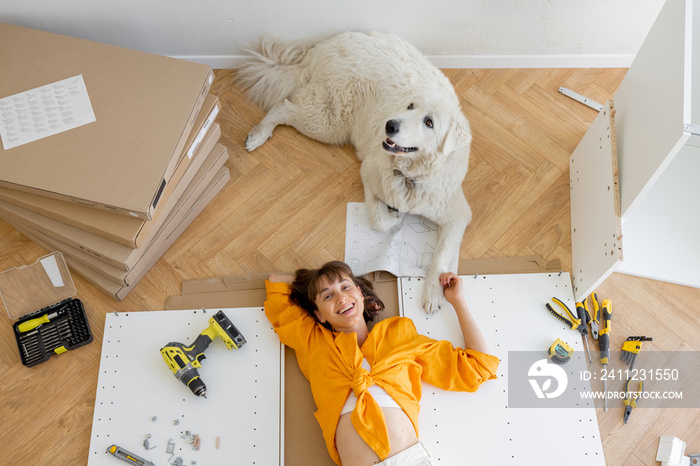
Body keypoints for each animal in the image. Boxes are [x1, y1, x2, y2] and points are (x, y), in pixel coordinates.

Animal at [238, 31, 474, 312]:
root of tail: (320, 47)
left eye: (429, 122)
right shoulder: (369, 172)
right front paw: (394, 217)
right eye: (410, 106)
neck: (409, 175)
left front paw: (434, 294)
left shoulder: (457, 214)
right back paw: (259, 135)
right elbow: (379, 219)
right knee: (282, 107)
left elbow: (442, 254)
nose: (390, 125)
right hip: (328, 122)